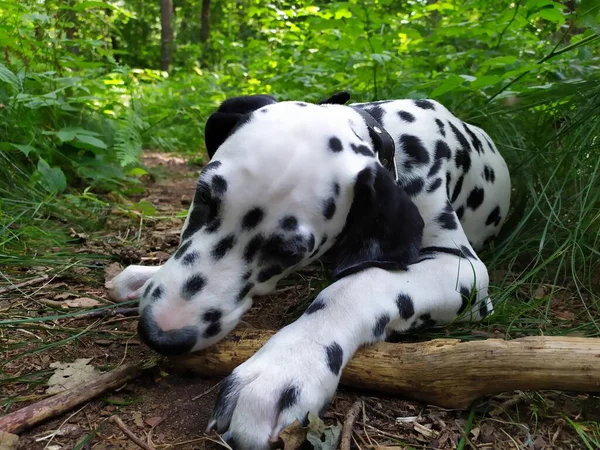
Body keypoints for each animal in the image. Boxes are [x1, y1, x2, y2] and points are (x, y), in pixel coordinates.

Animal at [105, 91, 508, 450]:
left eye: (287, 251)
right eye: (203, 196)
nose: (160, 334)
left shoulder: (463, 268)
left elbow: (358, 285)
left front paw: (284, 368)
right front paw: (146, 275)